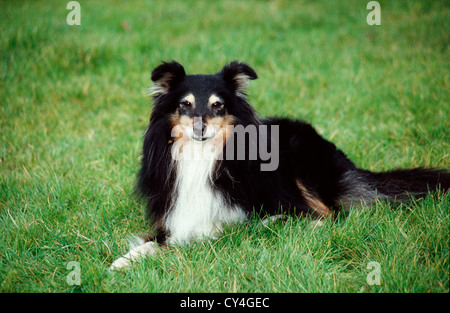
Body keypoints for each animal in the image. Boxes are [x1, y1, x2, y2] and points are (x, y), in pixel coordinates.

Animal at [110, 61, 450, 268]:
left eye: (218, 105)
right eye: (185, 104)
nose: (200, 129)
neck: (202, 156)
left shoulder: (228, 222)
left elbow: (196, 237)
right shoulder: (172, 215)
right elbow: (154, 241)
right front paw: (124, 260)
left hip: (297, 159)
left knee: (329, 213)